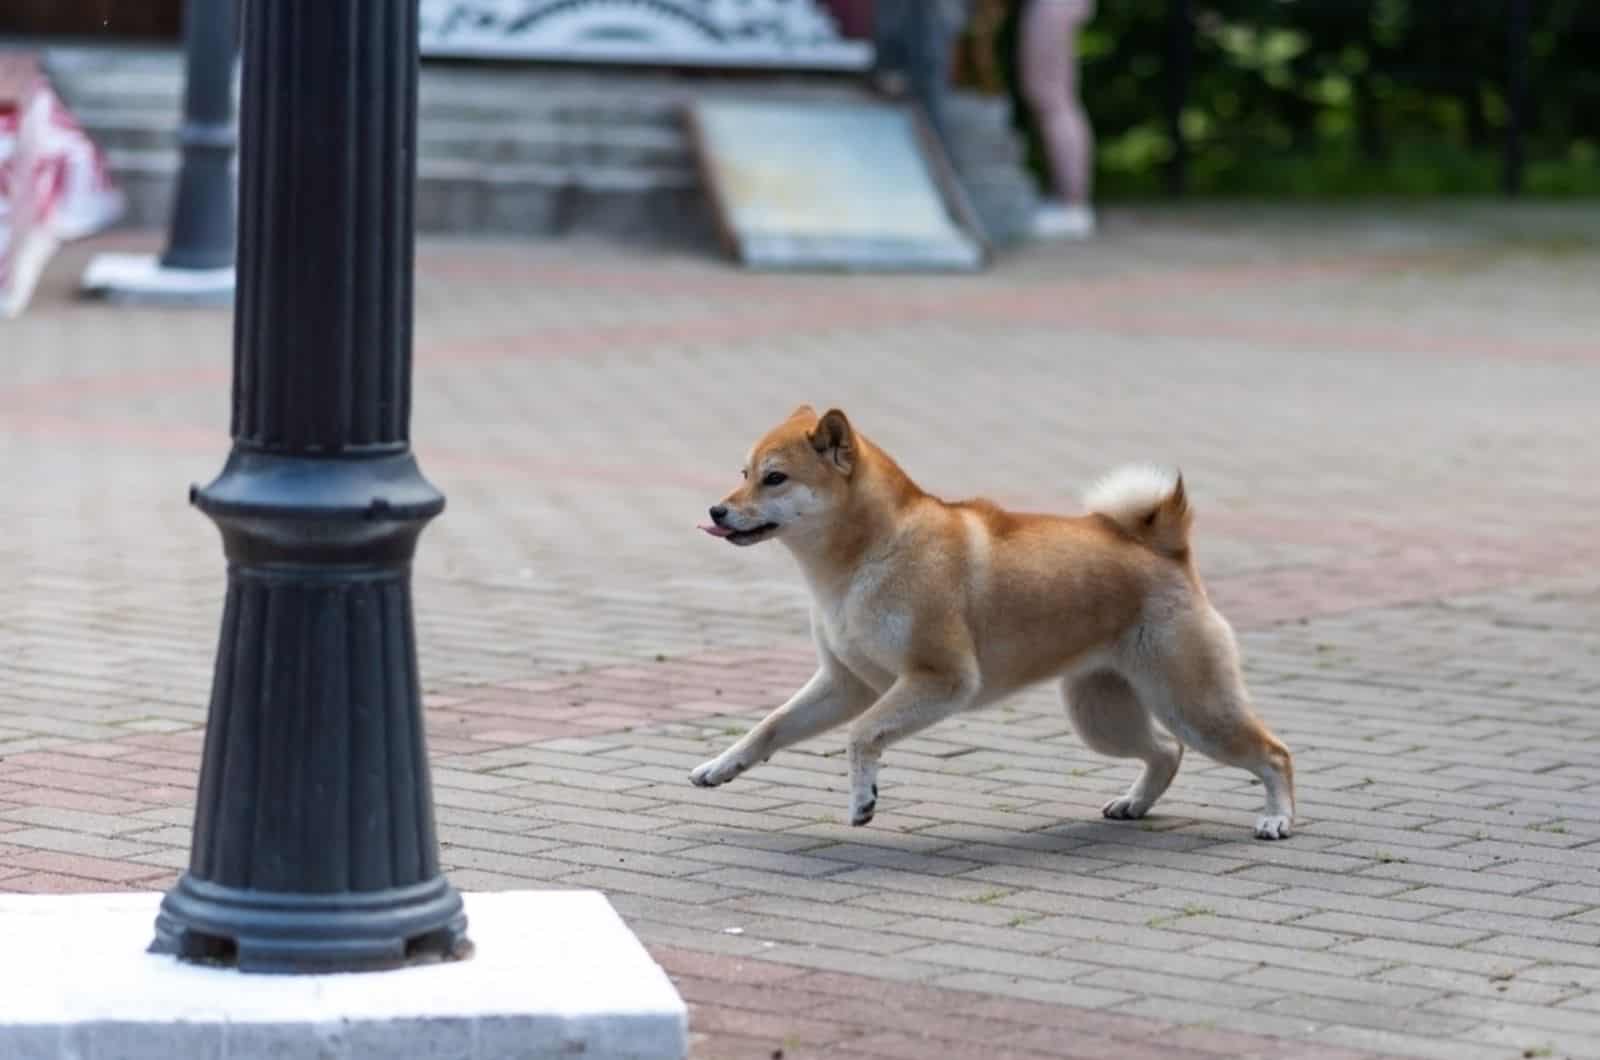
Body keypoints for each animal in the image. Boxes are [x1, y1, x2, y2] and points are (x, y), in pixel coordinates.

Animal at [694, 405, 1292, 839]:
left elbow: (862, 736)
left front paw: (863, 798)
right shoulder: (847, 683)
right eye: (745, 474)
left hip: (1193, 705)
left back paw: (1277, 817)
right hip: (1101, 715)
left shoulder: (940, 680)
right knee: (1166, 752)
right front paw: (721, 765)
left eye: (775, 478)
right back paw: (1133, 804)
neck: (866, 555)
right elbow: (770, 726)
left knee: (1273, 754)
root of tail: (1168, 551)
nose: (716, 511)